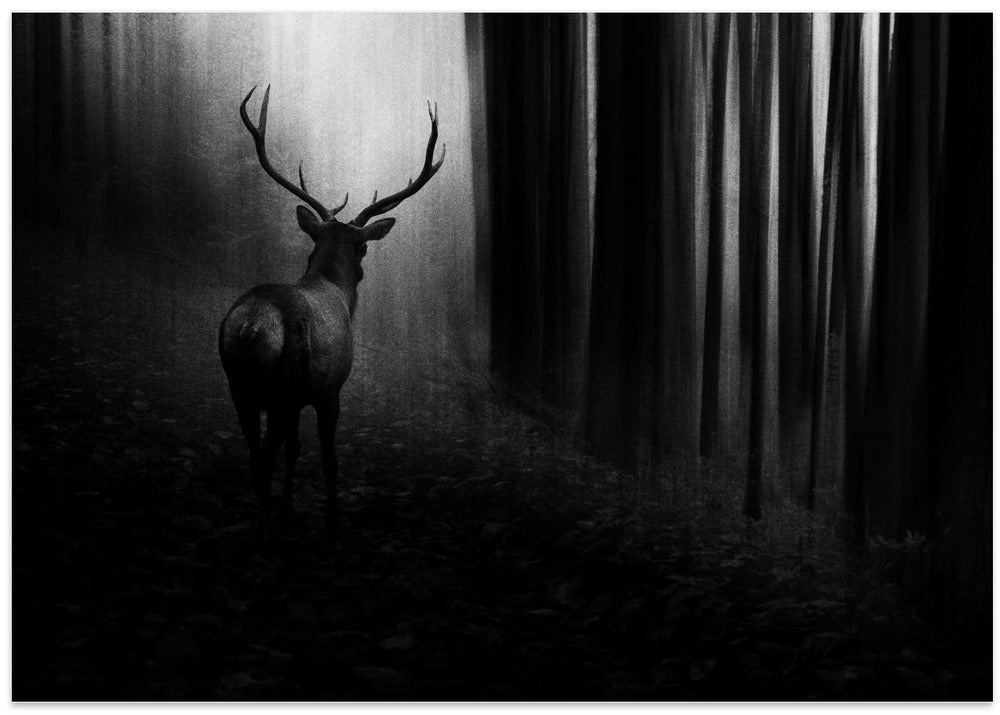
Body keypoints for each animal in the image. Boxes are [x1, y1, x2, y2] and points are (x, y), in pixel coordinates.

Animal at [219, 85, 445, 537]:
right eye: (364, 246)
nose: (362, 267)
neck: (333, 288)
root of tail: (251, 327)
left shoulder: (300, 398)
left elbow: (295, 450)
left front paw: (290, 506)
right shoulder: (330, 389)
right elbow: (328, 458)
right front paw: (333, 517)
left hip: (240, 386)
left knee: (255, 454)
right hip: (283, 386)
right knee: (263, 458)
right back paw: (267, 532)